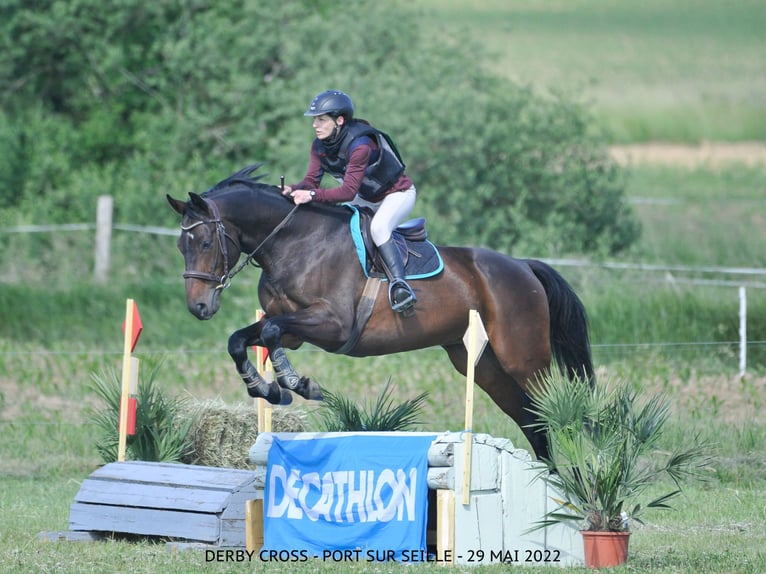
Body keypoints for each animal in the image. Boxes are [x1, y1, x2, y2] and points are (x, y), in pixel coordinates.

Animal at [168, 164, 596, 462]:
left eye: (204, 242)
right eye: (180, 246)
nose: (199, 307)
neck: (294, 243)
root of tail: (523, 267)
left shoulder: (331, 325)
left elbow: (270, 332)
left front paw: (295, 383)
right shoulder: (296, 331)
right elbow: (241, 339)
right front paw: (266, 388)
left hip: (523, 358)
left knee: (552, 412)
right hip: (482, 364)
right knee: (531, 420)